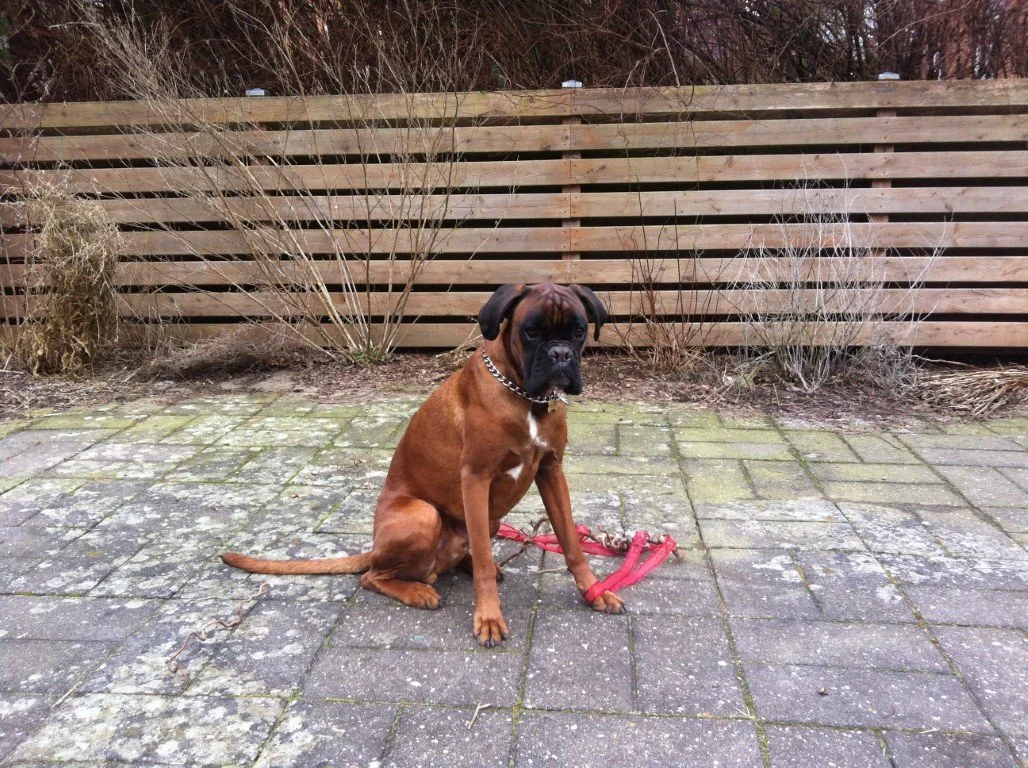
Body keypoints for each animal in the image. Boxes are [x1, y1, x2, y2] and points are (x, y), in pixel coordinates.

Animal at [222, 283, 625, 647]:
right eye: (531, 331)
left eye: (578, 330)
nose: (560, 354)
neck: (526, 396)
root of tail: (375, 548)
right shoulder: (475, 479)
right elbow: (482, 560)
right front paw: (489, 618)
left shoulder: (551, 472)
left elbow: (570, 542)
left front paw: (594, 591)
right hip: (424, 514)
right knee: (373, 576)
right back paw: (417, 591)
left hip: (489, 518)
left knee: (462, 551)